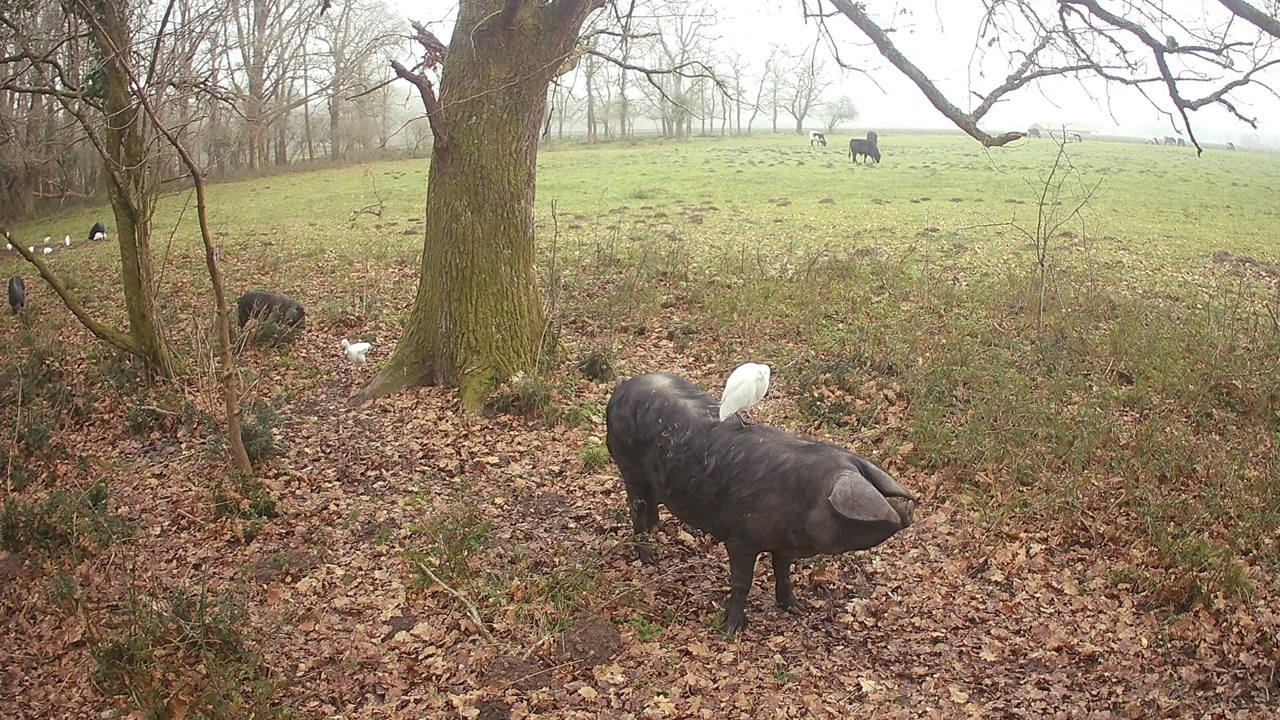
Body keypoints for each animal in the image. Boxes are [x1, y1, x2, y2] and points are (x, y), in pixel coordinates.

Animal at [605, 372, 916, 634]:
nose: (909, 507)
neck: (805, 500)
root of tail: (623, 384)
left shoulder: (784, 544)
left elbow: (784, 572)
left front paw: (796, 608)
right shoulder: (740, 539)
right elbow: (742, 583)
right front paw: (731, 630)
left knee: (653, 503)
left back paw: (659, 531)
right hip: (628, 467)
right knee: (637, 508)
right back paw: (649, 556)